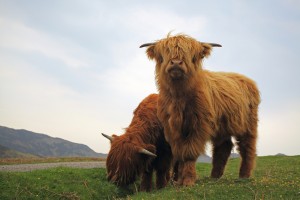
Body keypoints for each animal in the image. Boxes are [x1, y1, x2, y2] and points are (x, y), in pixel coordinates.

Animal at [141, 33, 260, 186]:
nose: (176, 63)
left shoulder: (198, 125)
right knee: (223, 147)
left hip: (248, 123)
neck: (179, 97)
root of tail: (247, 80)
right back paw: (215, 176)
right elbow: (179, 153)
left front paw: (188, 180)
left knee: (247, 147)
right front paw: (178, 180)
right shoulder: (172, 128)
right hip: (222, 127)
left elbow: (189, 153)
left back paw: (244, 175)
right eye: (165, 53)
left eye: (191, 54)